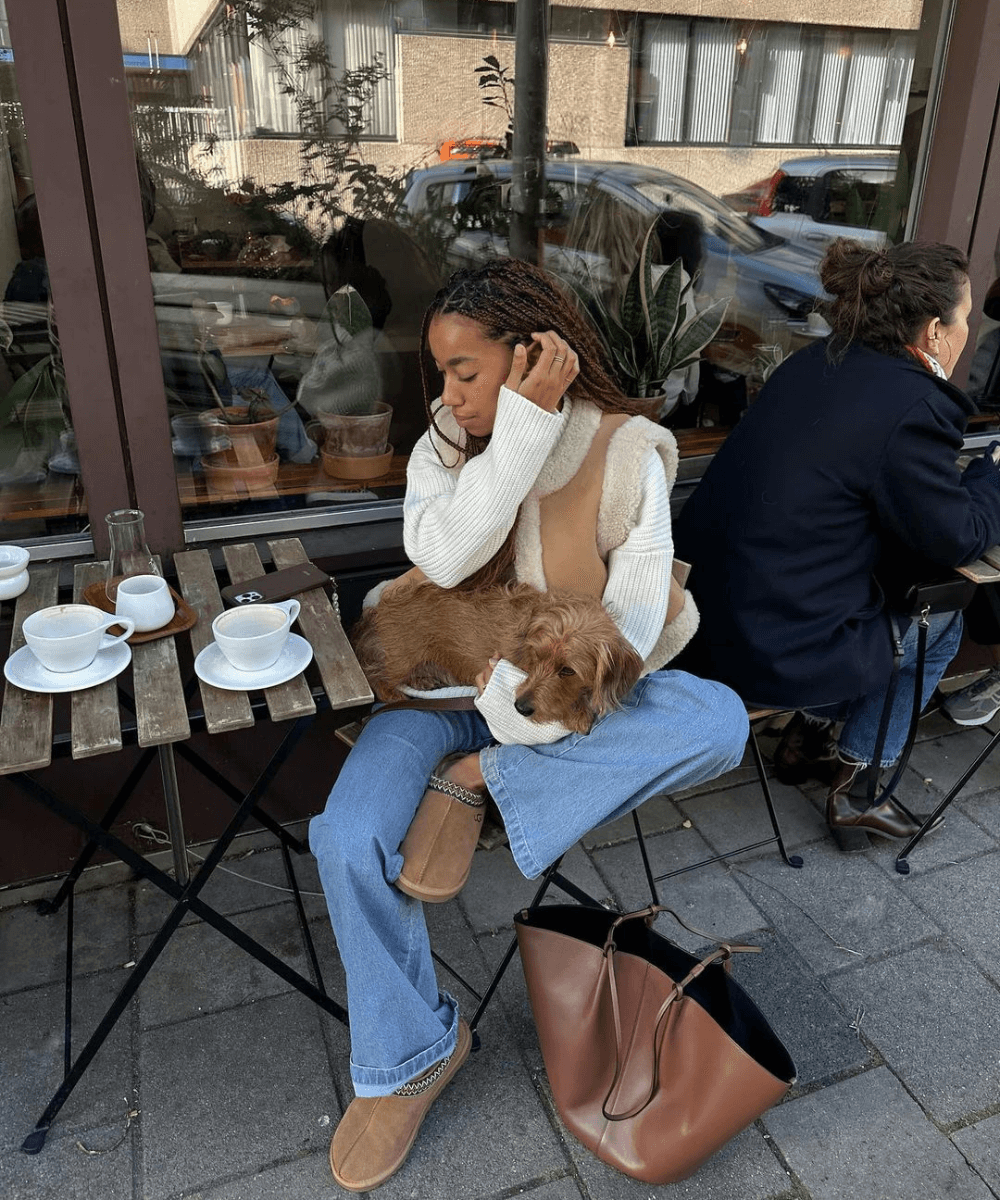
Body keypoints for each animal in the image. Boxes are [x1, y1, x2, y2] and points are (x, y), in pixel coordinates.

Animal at [355, 578, 643, 734]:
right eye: (536, 656)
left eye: (568, 670)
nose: (521, 708)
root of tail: (377, 612)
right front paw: (578, 715)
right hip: (400, 657)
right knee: (373, 673)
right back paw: (395, 693)